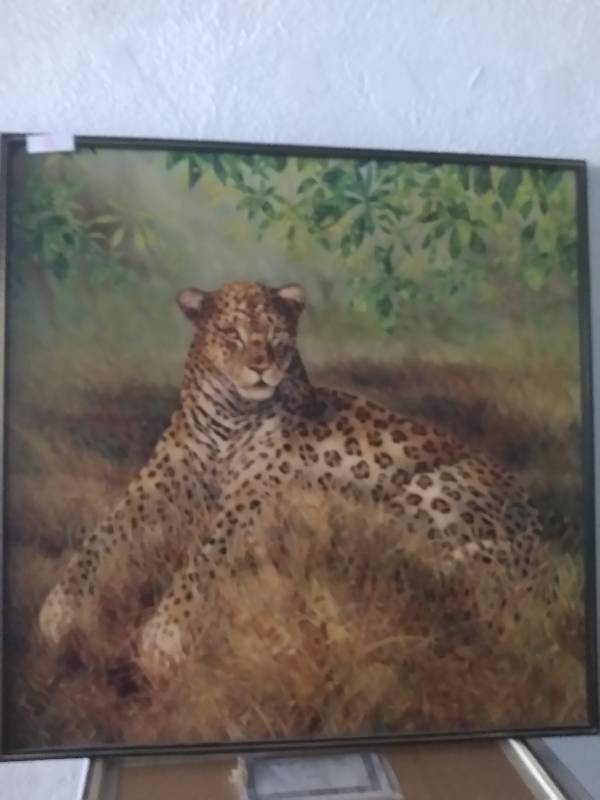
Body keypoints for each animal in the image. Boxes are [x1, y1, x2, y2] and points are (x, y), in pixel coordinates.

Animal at [38, 279, 543, 672]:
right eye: (232, 334)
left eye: (278, 335)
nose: (260, 366)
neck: (229, 414)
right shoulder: (158, 479)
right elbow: (103, 534)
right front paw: (59, 609)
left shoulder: (250, 492)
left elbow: (207, 551)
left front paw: (165, 631)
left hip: (434, 495)